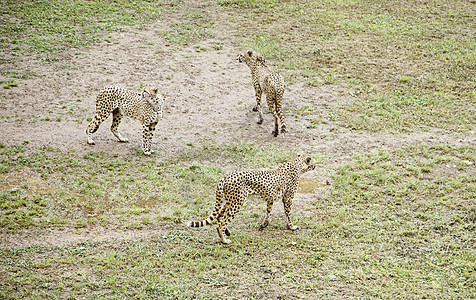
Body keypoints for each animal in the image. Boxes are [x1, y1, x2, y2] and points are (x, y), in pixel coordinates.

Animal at [187, 155, 316, 244]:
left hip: (230, 201)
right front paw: (291, 227)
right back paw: (224, 240)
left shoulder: (270, 198)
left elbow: (268, 212)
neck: (297, 164)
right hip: (236, 203)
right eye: (313, 161)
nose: (315, 166)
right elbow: (288, 214)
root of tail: (226, 176)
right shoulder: (288, 198)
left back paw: (227, 232)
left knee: (219, 216)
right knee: (221, 222)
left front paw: (264, 225)